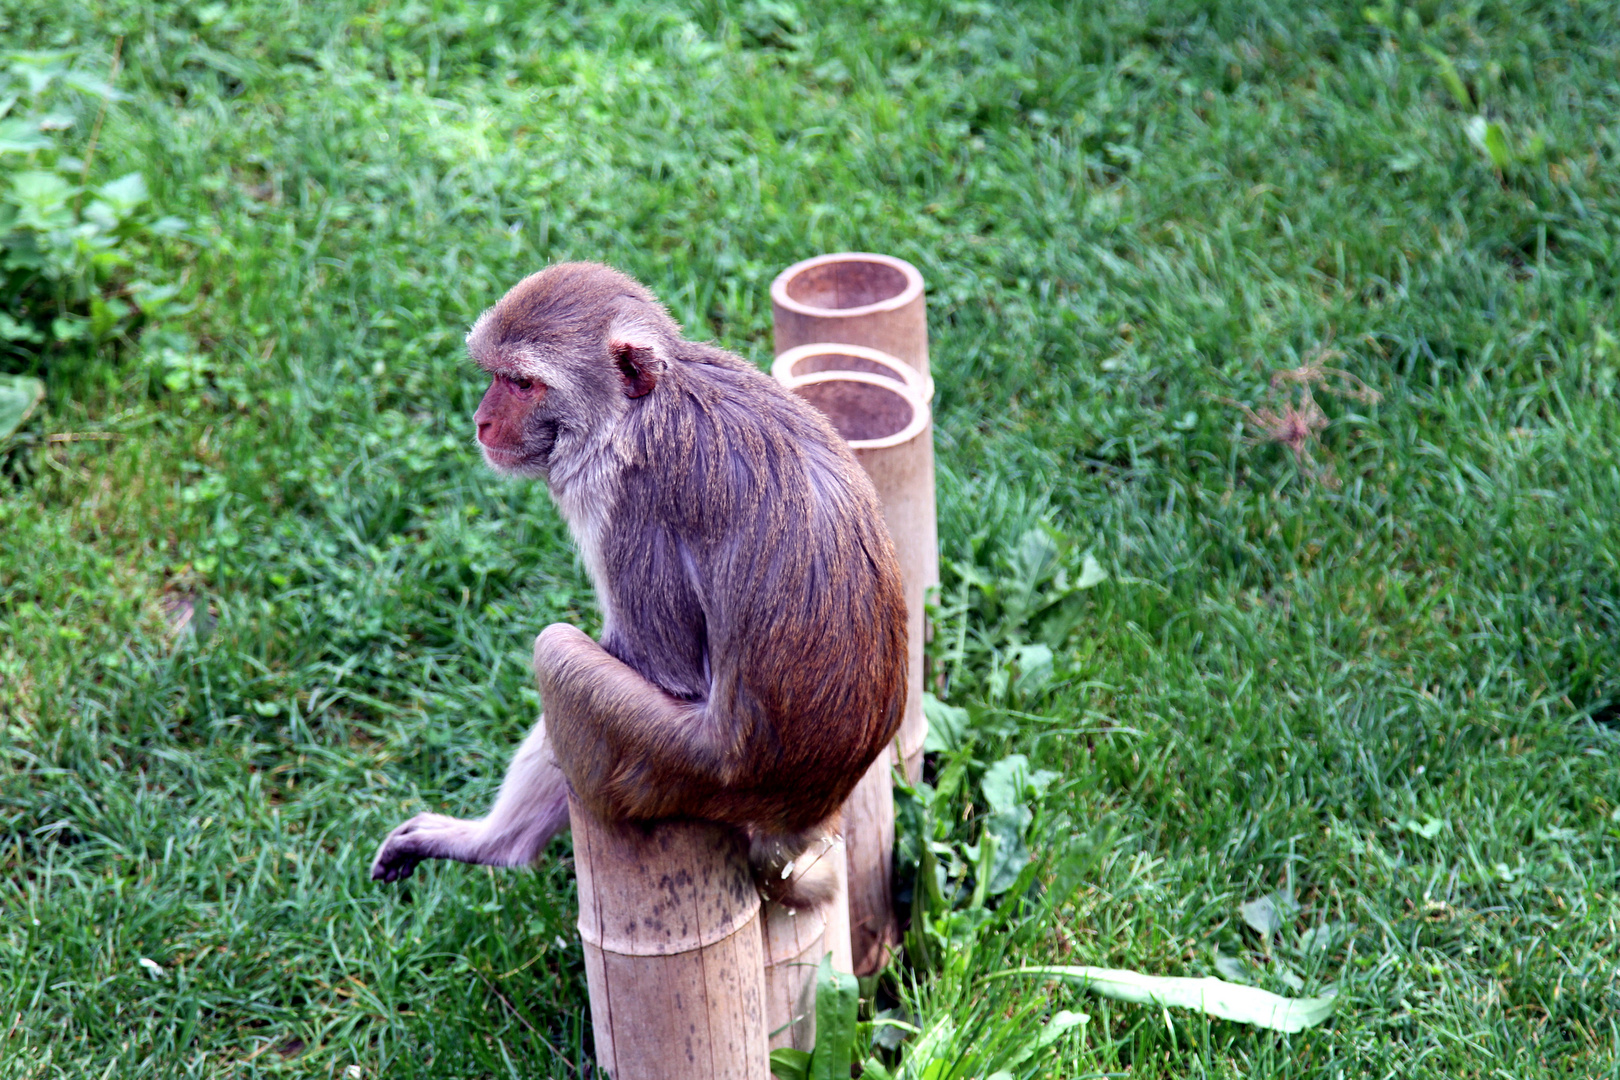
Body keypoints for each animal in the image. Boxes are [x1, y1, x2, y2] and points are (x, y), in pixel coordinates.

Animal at [372, 262, 913, 906]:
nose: (482, 421)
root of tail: (805, 811)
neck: (637, 413)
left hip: (682, 770)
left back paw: (499, 845)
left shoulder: (627, 499)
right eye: (497, 377)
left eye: (523, 384)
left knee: (557, 651)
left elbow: (664, 666)